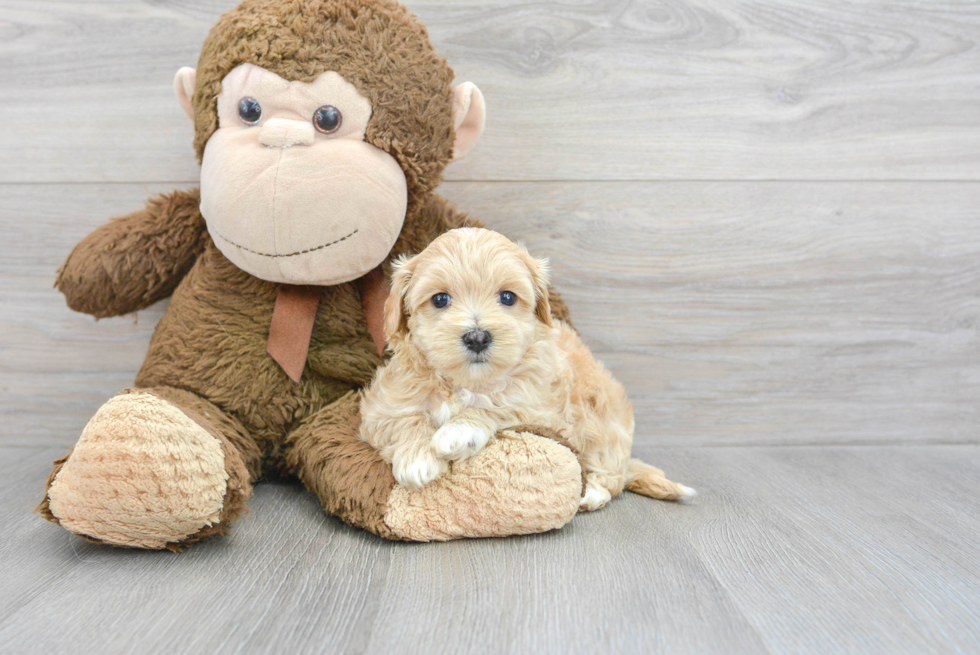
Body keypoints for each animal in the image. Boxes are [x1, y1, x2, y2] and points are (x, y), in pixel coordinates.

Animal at [362, 228, 696, 510]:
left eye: (507, 297)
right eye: (440, 299)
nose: (477, 337)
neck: (467, 382)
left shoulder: (542, 411)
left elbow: (497, 406)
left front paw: (458, 431)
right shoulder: (382, 406)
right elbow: (405, 419)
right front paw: (417, 459)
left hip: (603, 422)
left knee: (612, 475)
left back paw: (592, 493)